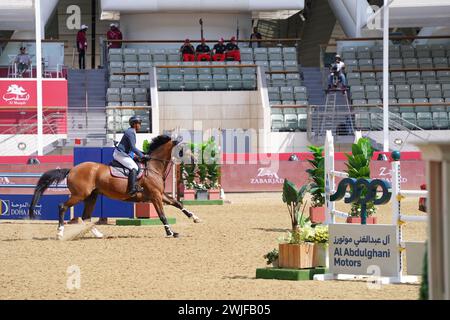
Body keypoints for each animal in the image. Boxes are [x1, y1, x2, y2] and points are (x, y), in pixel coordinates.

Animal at [29, 134, 201, 239]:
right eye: (182, 149)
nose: (195, 161)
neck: (153, 166)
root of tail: (72, 169)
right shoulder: (155, 196)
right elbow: (162, 215)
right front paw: (170, 232)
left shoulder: (160, 194)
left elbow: (178, 203)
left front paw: (195, 218)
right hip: (80, 195)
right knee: (62, 207)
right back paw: (60, 233)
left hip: (92, 196)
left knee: (85, 217)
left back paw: (98, 234)